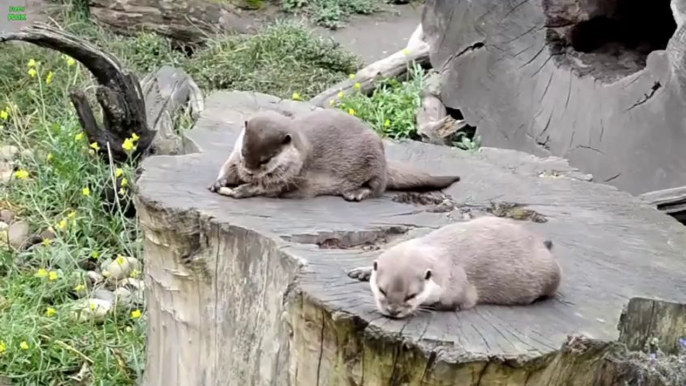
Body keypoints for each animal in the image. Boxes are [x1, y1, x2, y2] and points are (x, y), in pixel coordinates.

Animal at [206, 108, 462, 201]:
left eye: (265, 160)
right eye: (244, 151)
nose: (249, 172)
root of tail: (386, 162)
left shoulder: (287, 178)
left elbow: (265, 188)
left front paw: (243, 189)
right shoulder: (234, 158)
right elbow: (227, 167)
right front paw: (219, 182)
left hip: (374, 160)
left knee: (378, 188)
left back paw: (356, 193)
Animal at [350, 217, 564, 320]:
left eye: (411, 295)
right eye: (382, 290)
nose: (393, 311)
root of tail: (541, 244)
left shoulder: (459, 287)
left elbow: (455, 303)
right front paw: (363, 271)